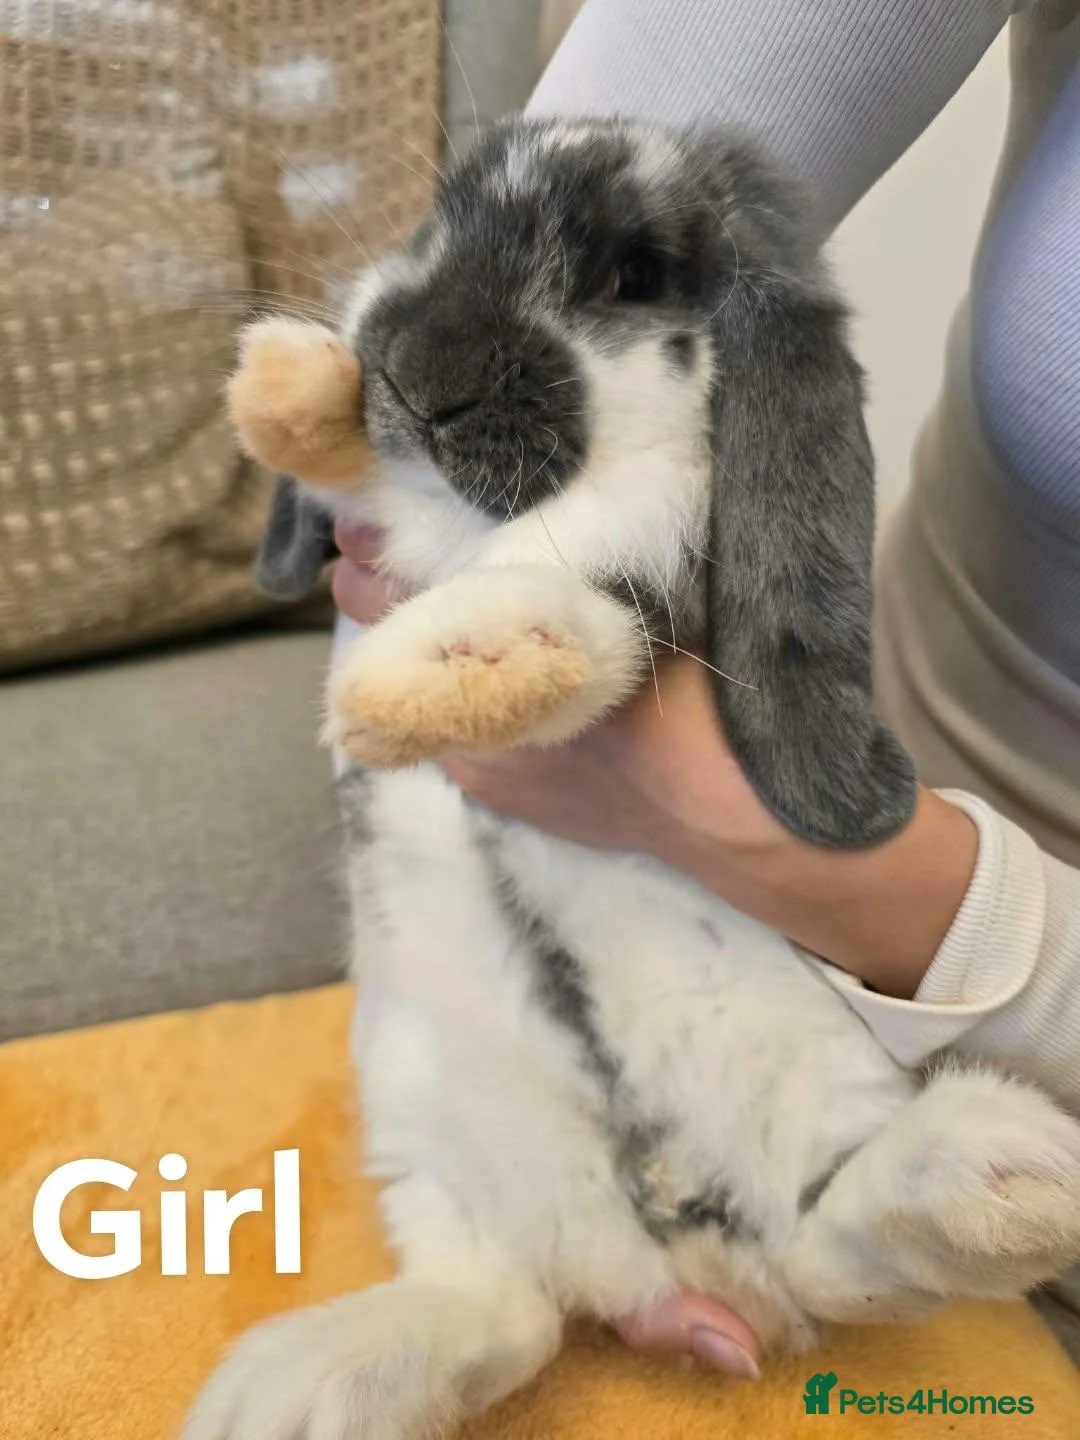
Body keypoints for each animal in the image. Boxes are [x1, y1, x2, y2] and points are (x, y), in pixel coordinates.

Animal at [185, 118, 1080, 1440]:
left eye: (632, 276)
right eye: (442, 217)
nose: (417, 372)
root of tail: (661, 1247)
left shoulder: (654, 527)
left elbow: (587, 568)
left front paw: (436, 670)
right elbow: (350, 472)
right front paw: (286, 381)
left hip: (813, 1087)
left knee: (827, 1252)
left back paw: (997, 1180)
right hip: (420, 1104)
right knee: (502, 1305)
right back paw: (300, 1389)